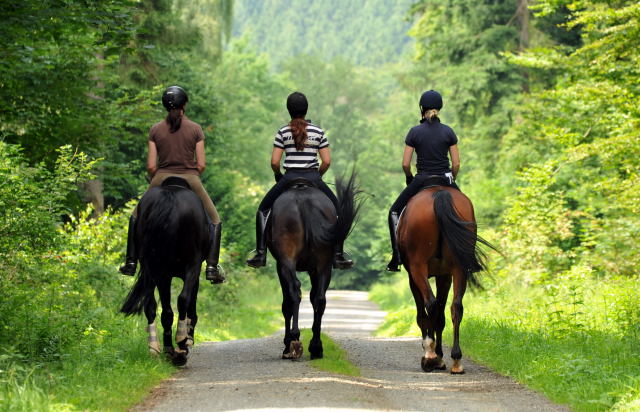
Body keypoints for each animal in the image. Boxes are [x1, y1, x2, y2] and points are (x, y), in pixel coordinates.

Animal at [120, 175, 210, 366]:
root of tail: (169, 197)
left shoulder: (163, 274)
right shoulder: (194, 271)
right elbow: (189, 304)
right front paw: (186, 340)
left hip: (153, 269)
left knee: (153, 306)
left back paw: (157, 347)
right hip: (186, 267)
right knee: (182, 300)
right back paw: (181, 343)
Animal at [268, 172, 360, 358]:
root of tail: (305, 202)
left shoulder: (280, 266)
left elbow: (286, 304)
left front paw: (287, 342)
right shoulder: (313, 269)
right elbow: (313, 297)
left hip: (287, 261)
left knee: (294, 292)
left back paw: (293, 342)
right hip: (324, 265)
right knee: (319, 298)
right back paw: (316, 347)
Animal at [400, 186, 496, 374]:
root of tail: (440, 192)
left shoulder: (413, 278)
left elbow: (423, 315)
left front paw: (435, 355)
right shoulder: (444, 276)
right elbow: (441, 317)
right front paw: (441, 357)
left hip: (418, 267)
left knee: (430, 304)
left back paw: (430, 356)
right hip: (459, 268)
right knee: (456, 307)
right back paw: (456, 360)